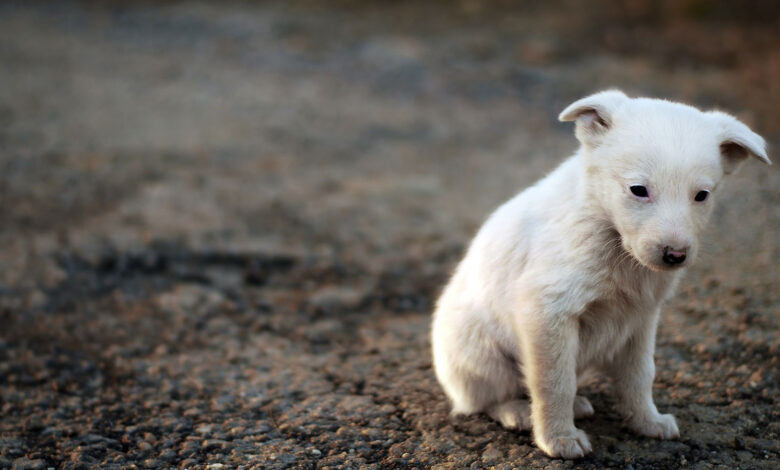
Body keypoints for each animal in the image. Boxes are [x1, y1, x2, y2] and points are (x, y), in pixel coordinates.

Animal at [432, 91, 768, 458]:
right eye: (638, 190)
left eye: (702, 196)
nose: (675, 256)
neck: (612, 237)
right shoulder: (547, 311)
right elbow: (554, 383)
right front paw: (559, 439)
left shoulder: (641, 319)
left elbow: (640, 375)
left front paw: (647, 422)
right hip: (481, 354)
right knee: (487, 399)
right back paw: (518, 412)